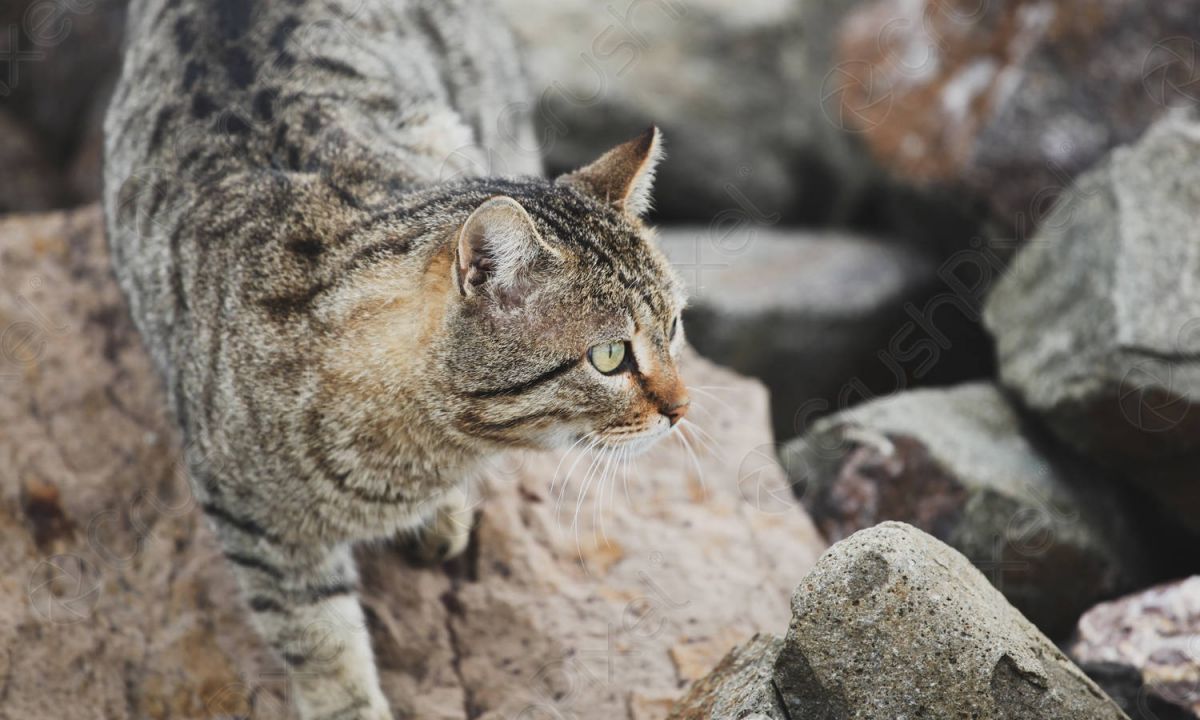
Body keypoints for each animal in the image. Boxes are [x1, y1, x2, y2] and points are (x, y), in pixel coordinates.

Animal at [104, 0, 696, 715]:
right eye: (609, 357)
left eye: (674, 326)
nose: (682, 407)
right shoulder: (254, 523)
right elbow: (318, 640)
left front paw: (442, 513)